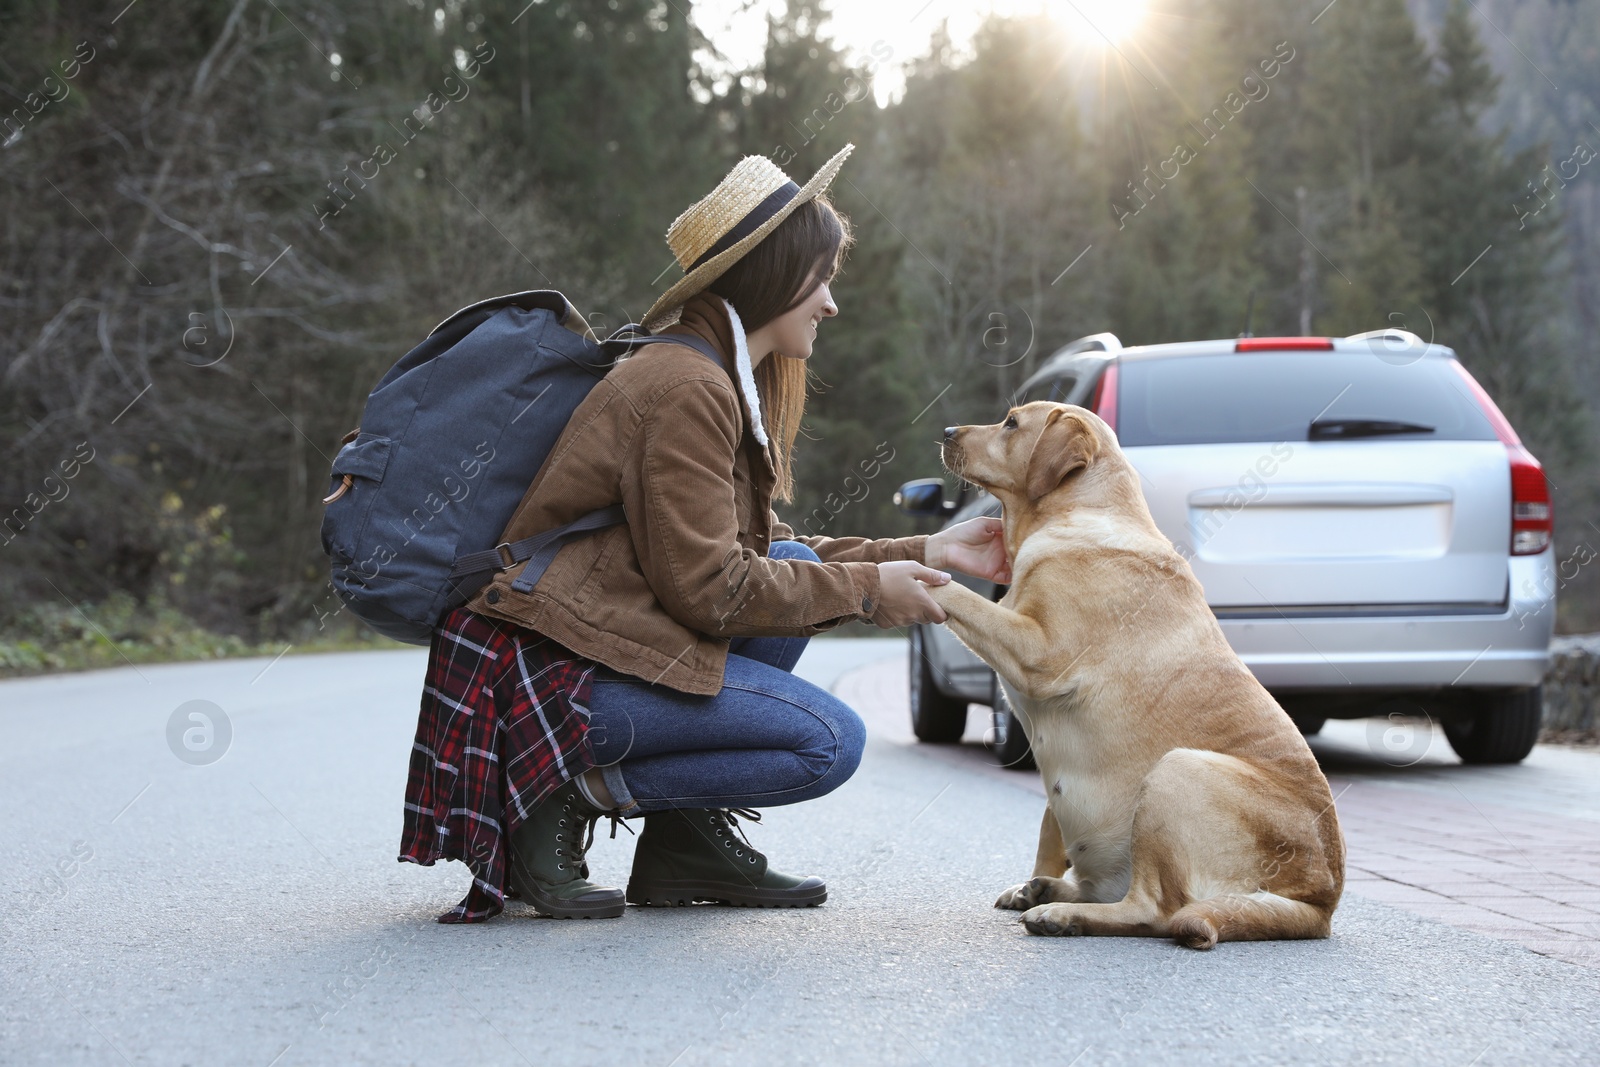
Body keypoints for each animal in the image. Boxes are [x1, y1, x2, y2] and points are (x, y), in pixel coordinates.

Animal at [934, 403, 1344, 953]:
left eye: (1012, 423)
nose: (946, 432)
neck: (1079, 515)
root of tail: (1320, 905)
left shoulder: (1040, 654)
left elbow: (956, 594)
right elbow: (1048, 826)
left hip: (1178, 770)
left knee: (1155, 910)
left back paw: (1062, 914)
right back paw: (1049, 891)